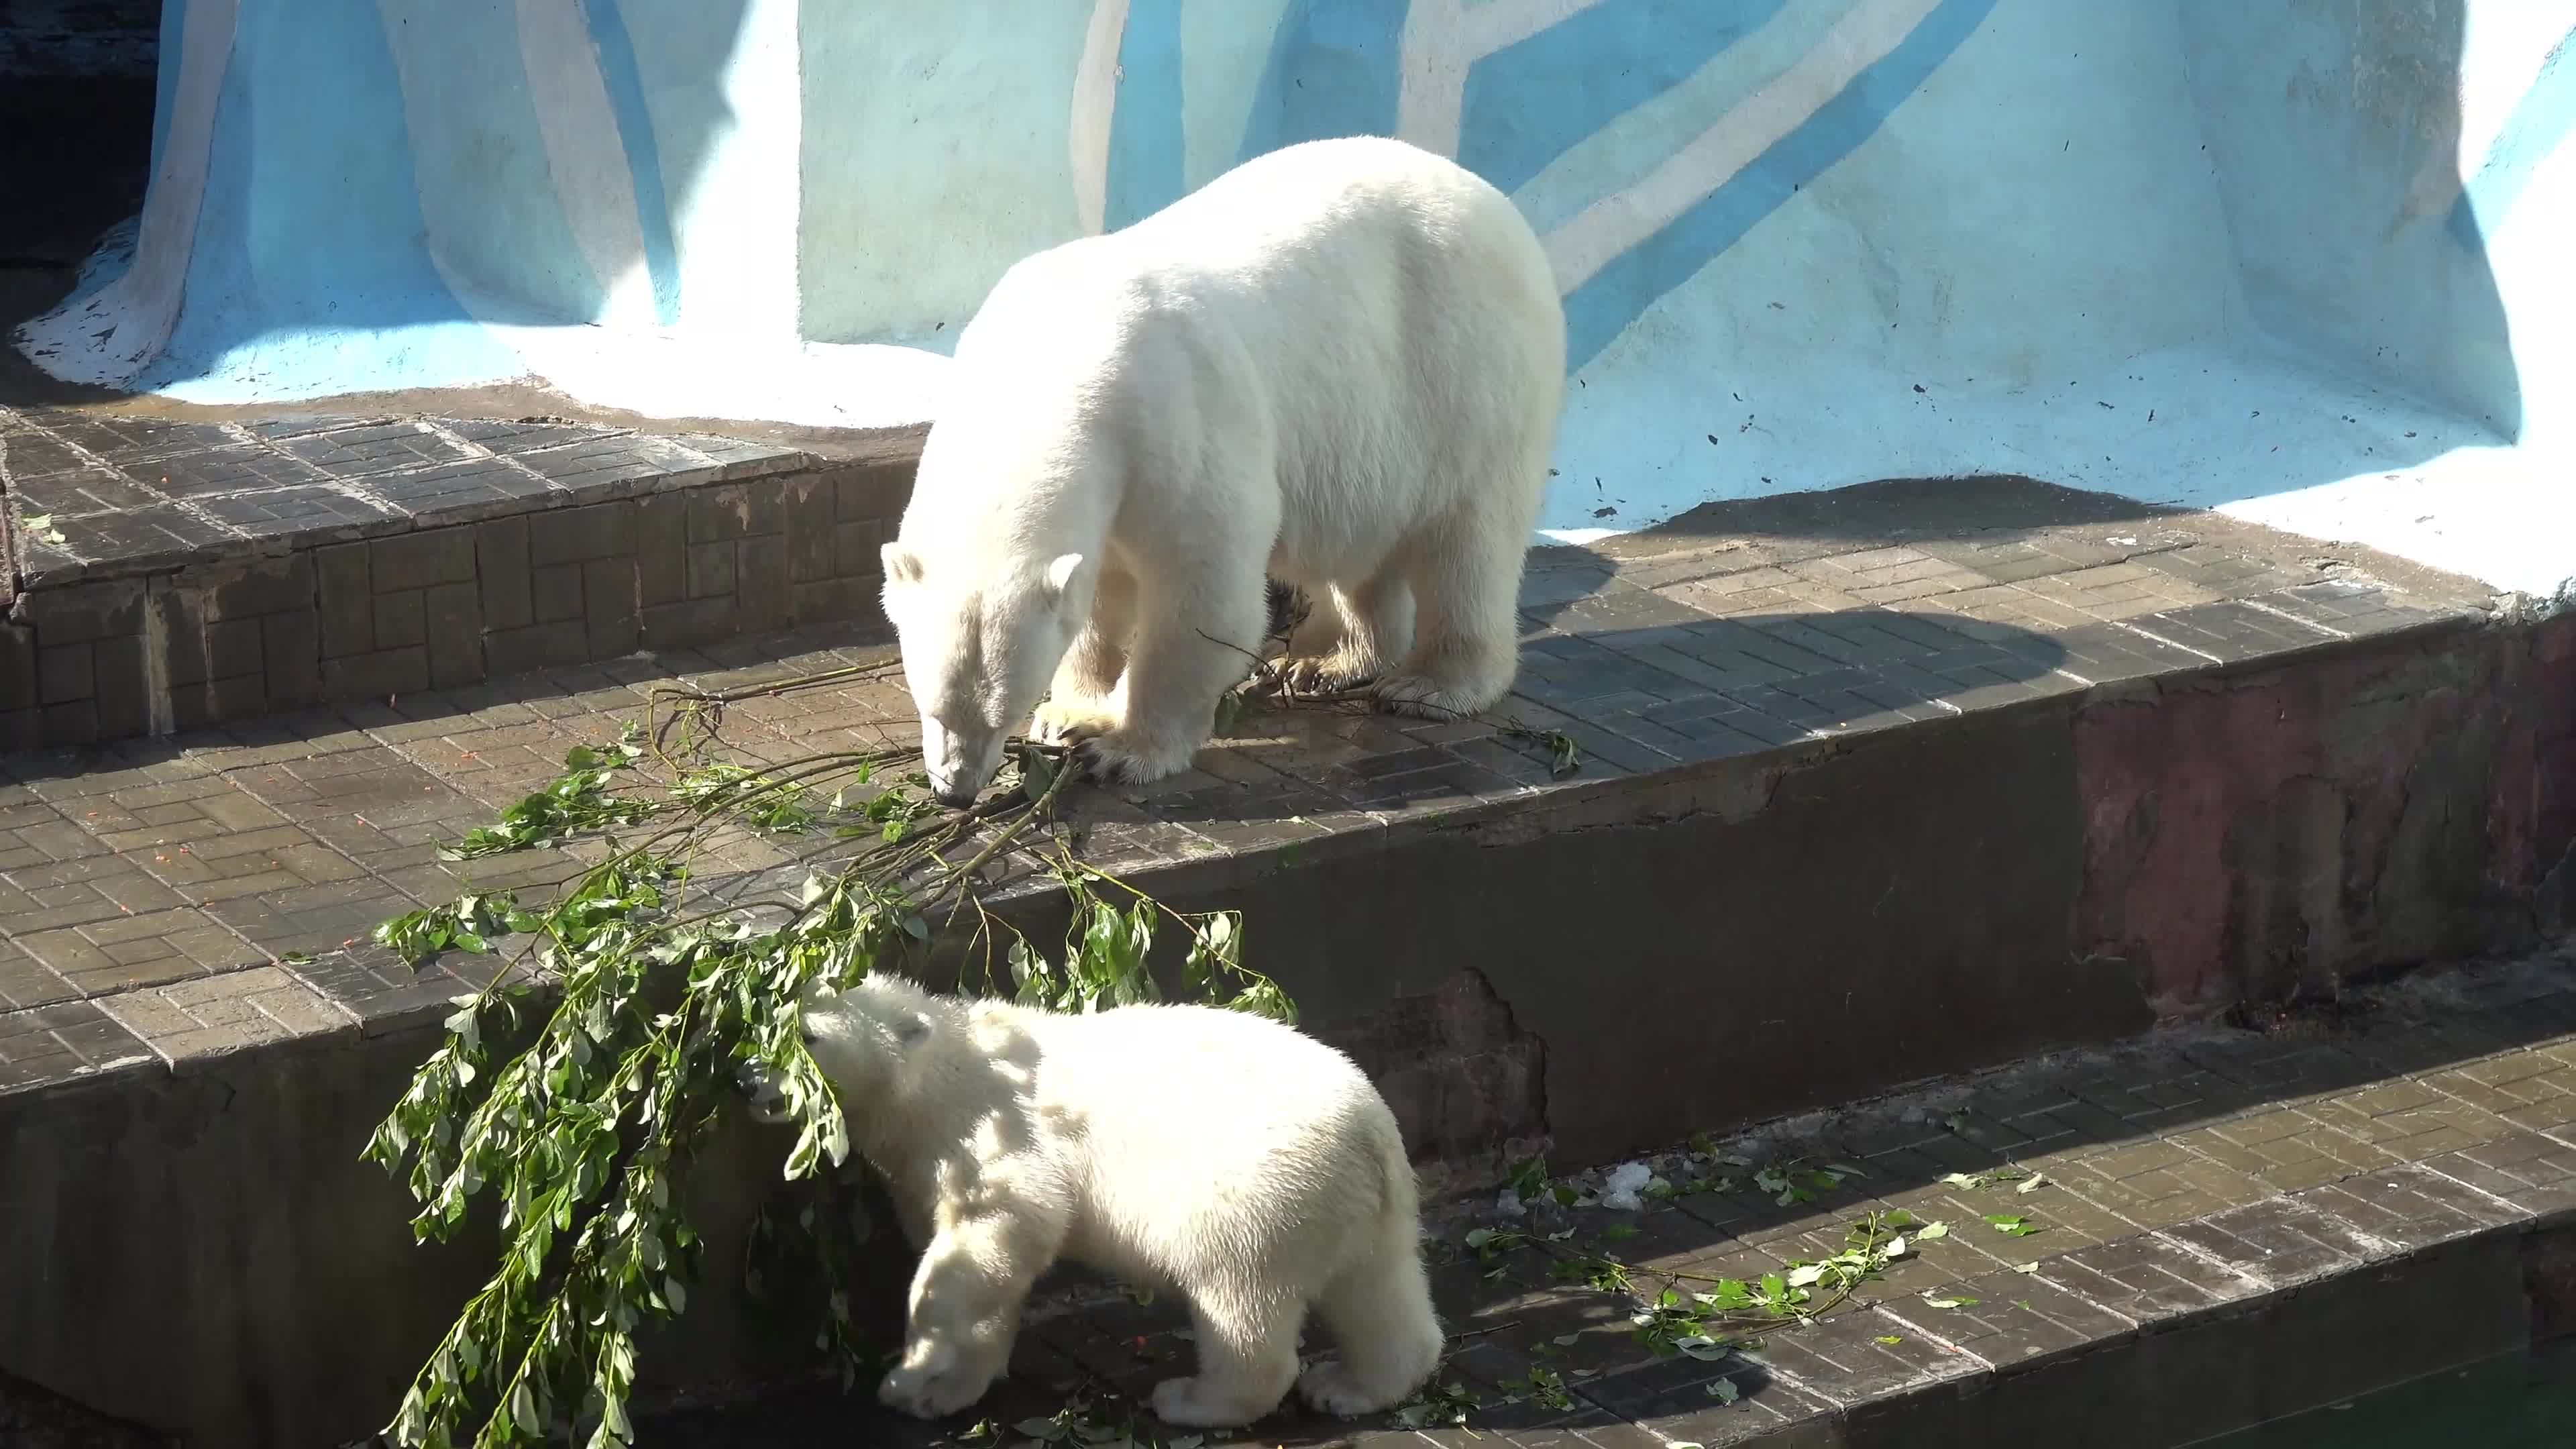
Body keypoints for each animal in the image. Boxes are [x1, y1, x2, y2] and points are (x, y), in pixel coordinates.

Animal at [762, 969, 1452, 1423]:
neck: (940, 1072)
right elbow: (987, 1274)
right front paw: (945, 1391)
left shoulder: (989, 1133)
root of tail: (1368, 1131)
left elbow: (1003, 1227)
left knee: (1238, 1296)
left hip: (1257, 1191)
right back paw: (1349, 1387)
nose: (747, 1078)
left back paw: (1193, 1400)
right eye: (772, 1024)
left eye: (807, 1036)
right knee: (1377, 1289)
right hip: (1362, 1205)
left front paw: (908, 1376)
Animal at [885, 133, 1566, 799]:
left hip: (1467, 373)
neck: (1057, 360)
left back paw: (1431, 685)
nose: (954, 790)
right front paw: (1069, 713)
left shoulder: (1176, 422)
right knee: (1364, 546)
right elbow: (1098, 598)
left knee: (1468, 545)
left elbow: (1204, 599)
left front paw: (1121, 748)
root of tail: (1506, 212)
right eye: (931, 702)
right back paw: (1327, 662)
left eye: (1000, 711)